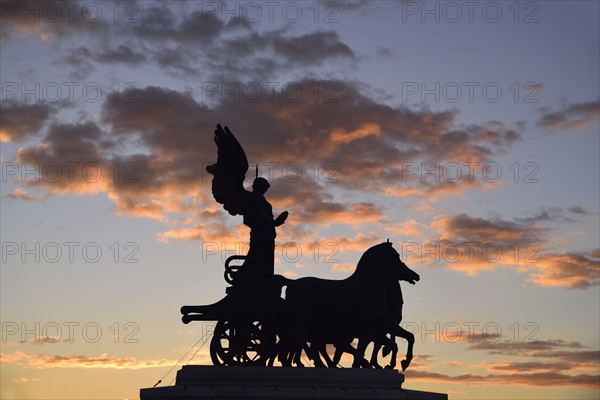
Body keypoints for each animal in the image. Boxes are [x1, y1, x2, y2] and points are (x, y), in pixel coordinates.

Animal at [274, 241, 420, 368]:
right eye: (395, 255)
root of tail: (292, 283)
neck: (369, 283)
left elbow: (363, 349)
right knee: (299, 340)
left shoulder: (370, 328)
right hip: (304, 321)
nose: (416, 275)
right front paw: (401, 362)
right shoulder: (377, 323)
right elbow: (403, 339)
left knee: (298, 341)